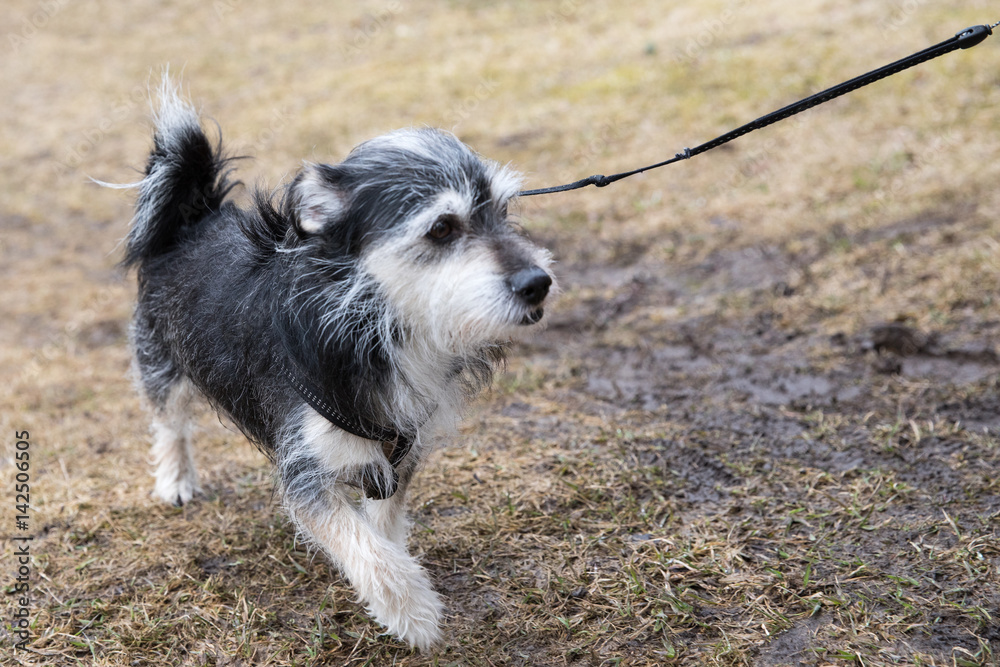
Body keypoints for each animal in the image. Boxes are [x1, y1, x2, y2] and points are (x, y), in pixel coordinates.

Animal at [119, 77, 556, 648]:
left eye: (504, 211)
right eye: (441, 227)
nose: (538, 283)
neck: (374, 322)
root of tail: (196, 216)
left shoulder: (402, 449)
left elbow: (381, 526)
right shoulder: (306, 467)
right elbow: (359, 542)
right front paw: (413, 613)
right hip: (163, 363)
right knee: (169, 424)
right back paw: (175, 480)